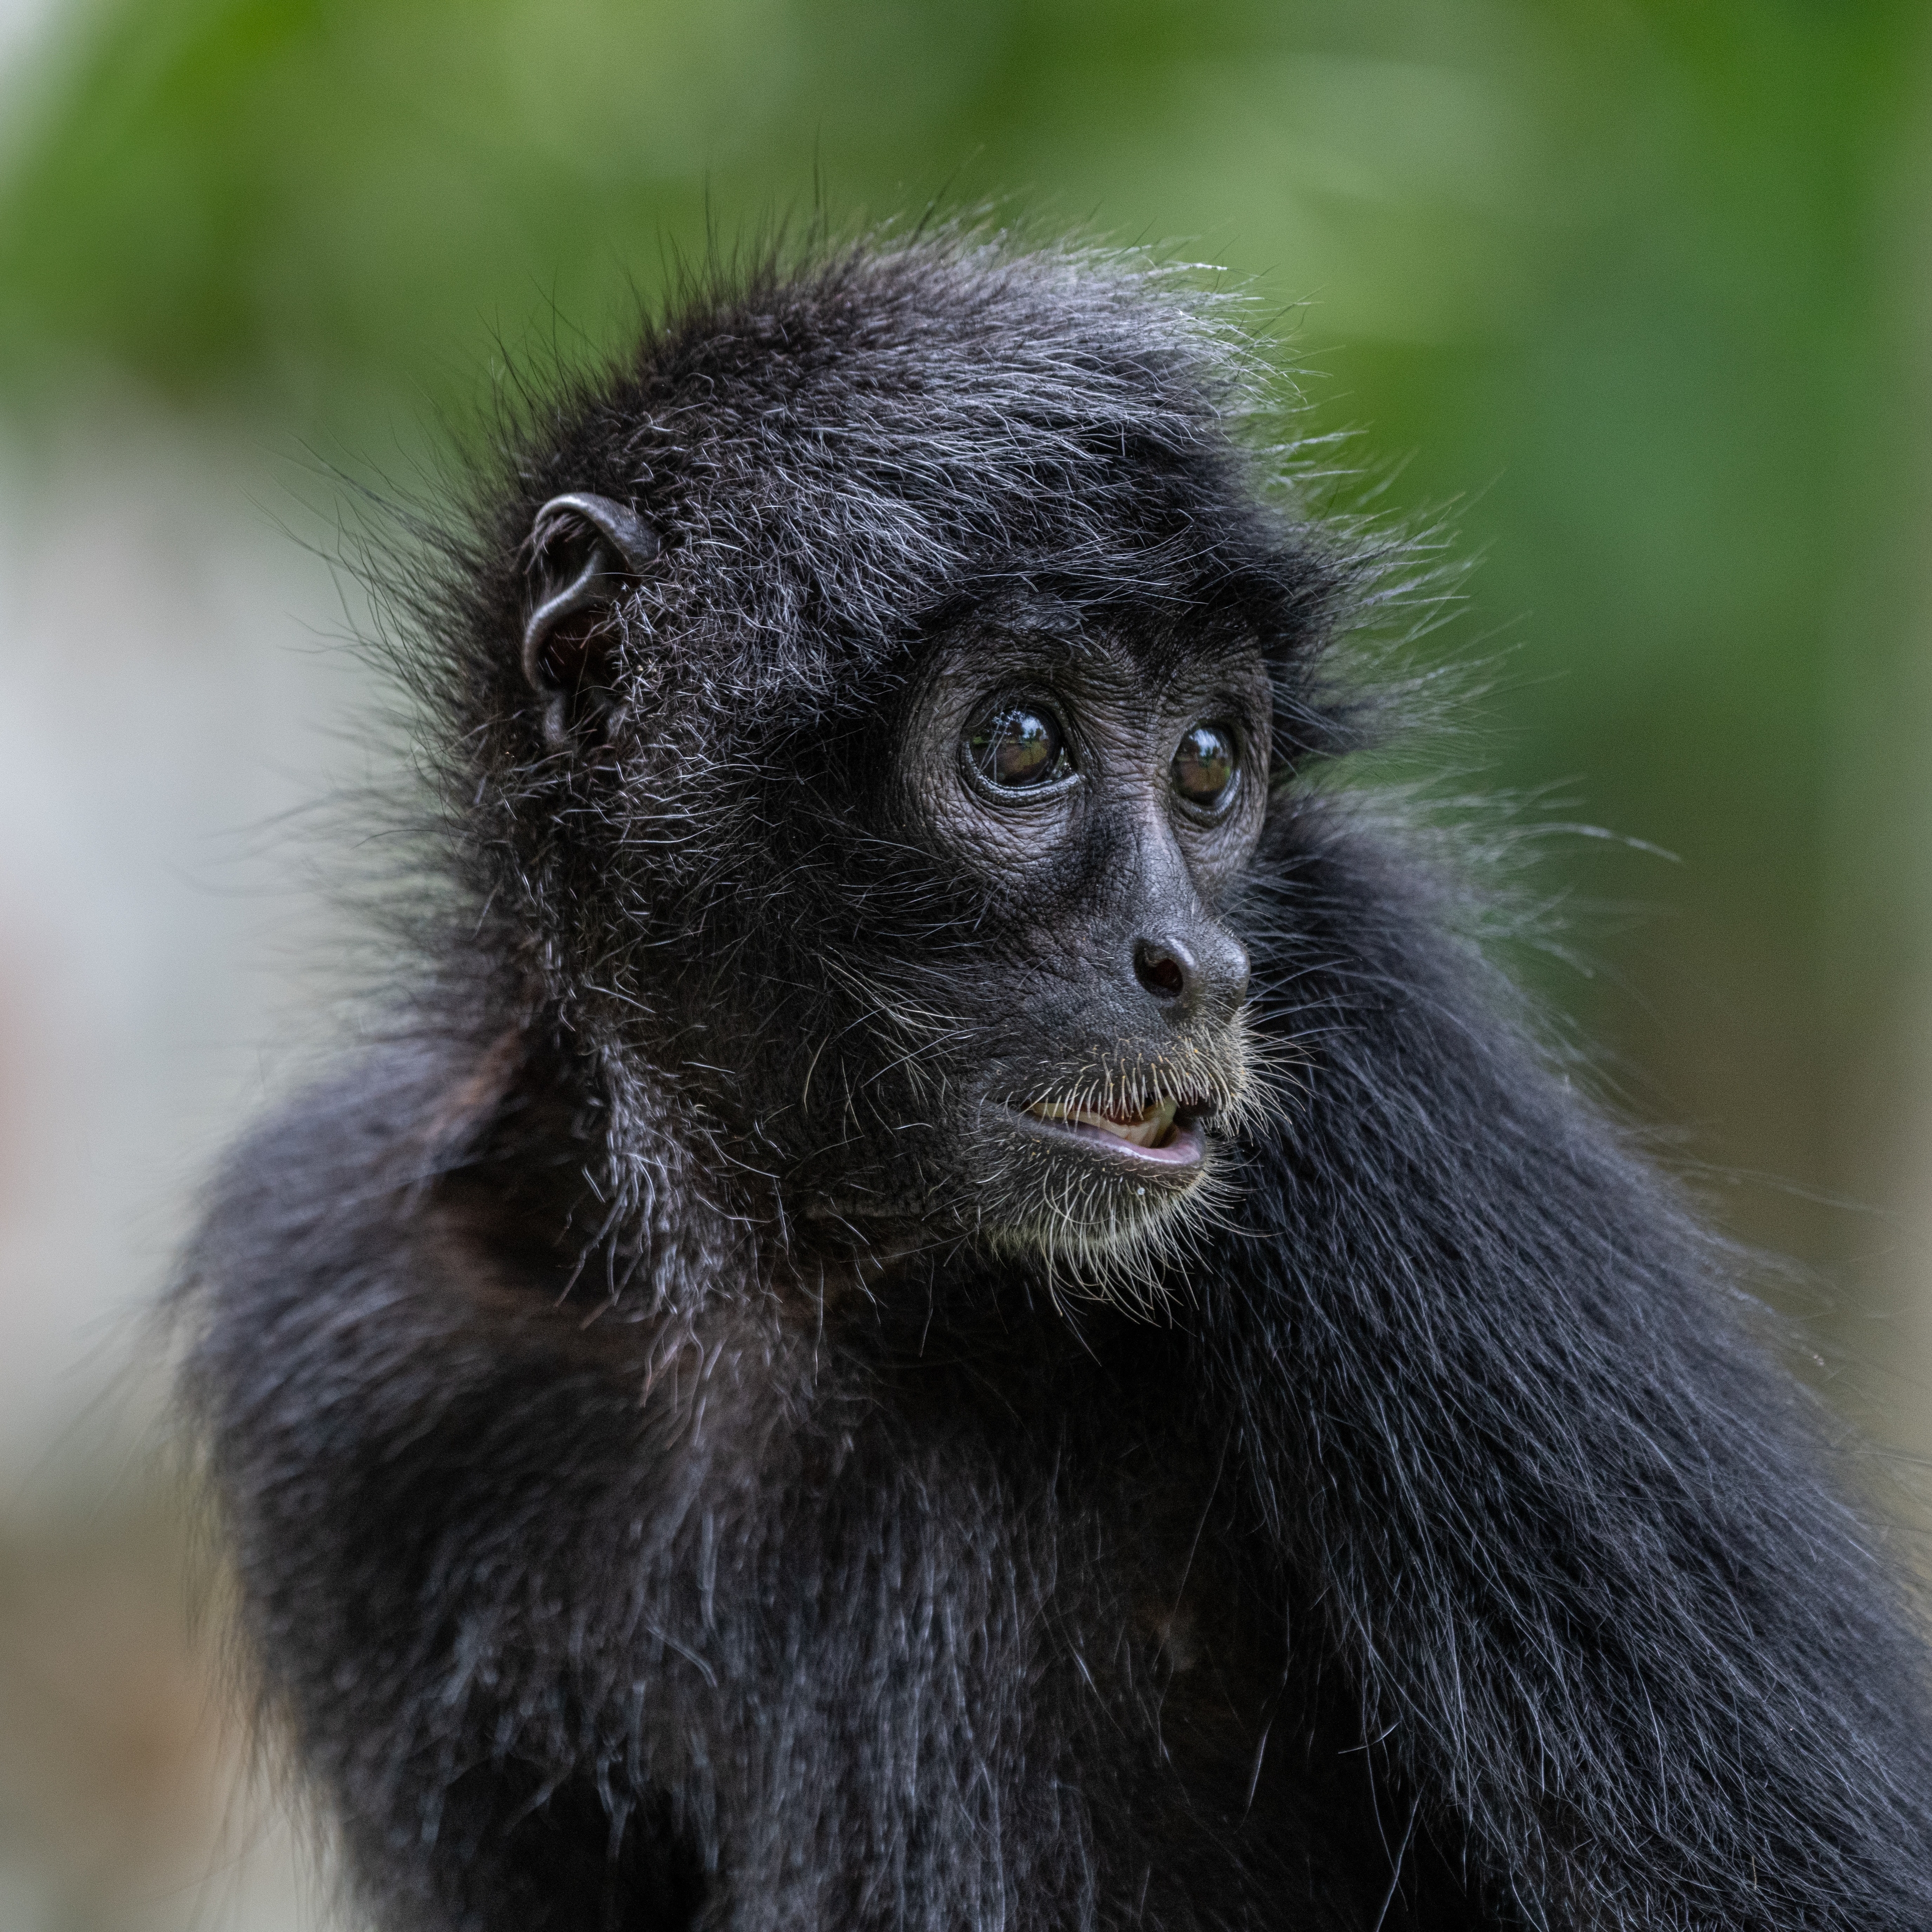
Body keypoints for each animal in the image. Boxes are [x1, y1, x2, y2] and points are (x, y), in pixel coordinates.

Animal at [178, 242, 1932, 1932]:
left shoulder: (1371, 1054)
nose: (1199, 966)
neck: (788, 1280)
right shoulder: (345, 1314)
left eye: (1211, 764)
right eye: (1021, 740)